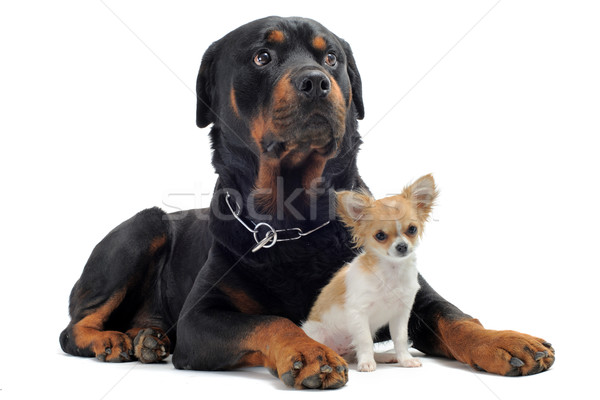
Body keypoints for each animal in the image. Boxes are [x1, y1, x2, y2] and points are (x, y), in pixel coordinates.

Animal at [304, 175, 436, 372]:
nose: (402, 246)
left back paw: (384, 357)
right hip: (318, 334)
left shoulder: (401, 314)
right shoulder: (359, 312)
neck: (391, 272)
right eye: (380, 236)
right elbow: (365, 340)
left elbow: (400, 339)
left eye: (412, 229)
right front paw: (366, 363)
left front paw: (405, 360)